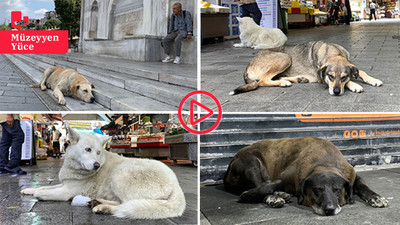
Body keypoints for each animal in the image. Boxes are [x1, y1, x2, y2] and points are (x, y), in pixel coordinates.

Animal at [20, 124, 186, 219]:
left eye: (99, 152)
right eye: (87, 149)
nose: (97, 165)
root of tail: (176, 184)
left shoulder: (66, 191)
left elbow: (43, 192)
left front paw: (37, 194)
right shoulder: (65, 184)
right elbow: (44, 187)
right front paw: (28, 190)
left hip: (120, 175)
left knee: (128, 204)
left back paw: (103, 208)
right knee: (123, 202)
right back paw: (97, 202)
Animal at [222, 136, 388, 215]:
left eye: (337, 190)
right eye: (317, 190)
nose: (329, 209)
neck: (325, 163)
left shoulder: (353, 176)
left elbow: (364, 186)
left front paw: (376, 197)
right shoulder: (287, 177)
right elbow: (267, 187)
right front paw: (249, 195)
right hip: (252, 162)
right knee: (261, 184)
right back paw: (273, 197)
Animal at [230, 40, 382, 95]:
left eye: (343, 77)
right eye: (330, 76)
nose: (336, 92)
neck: (334, 52)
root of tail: (248, 65)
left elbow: (361, 71)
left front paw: (373, 80)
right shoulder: (322, 78)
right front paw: (355, 85)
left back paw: (298, 79)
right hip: (285, 57)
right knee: (262, 81)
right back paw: (284, 83)